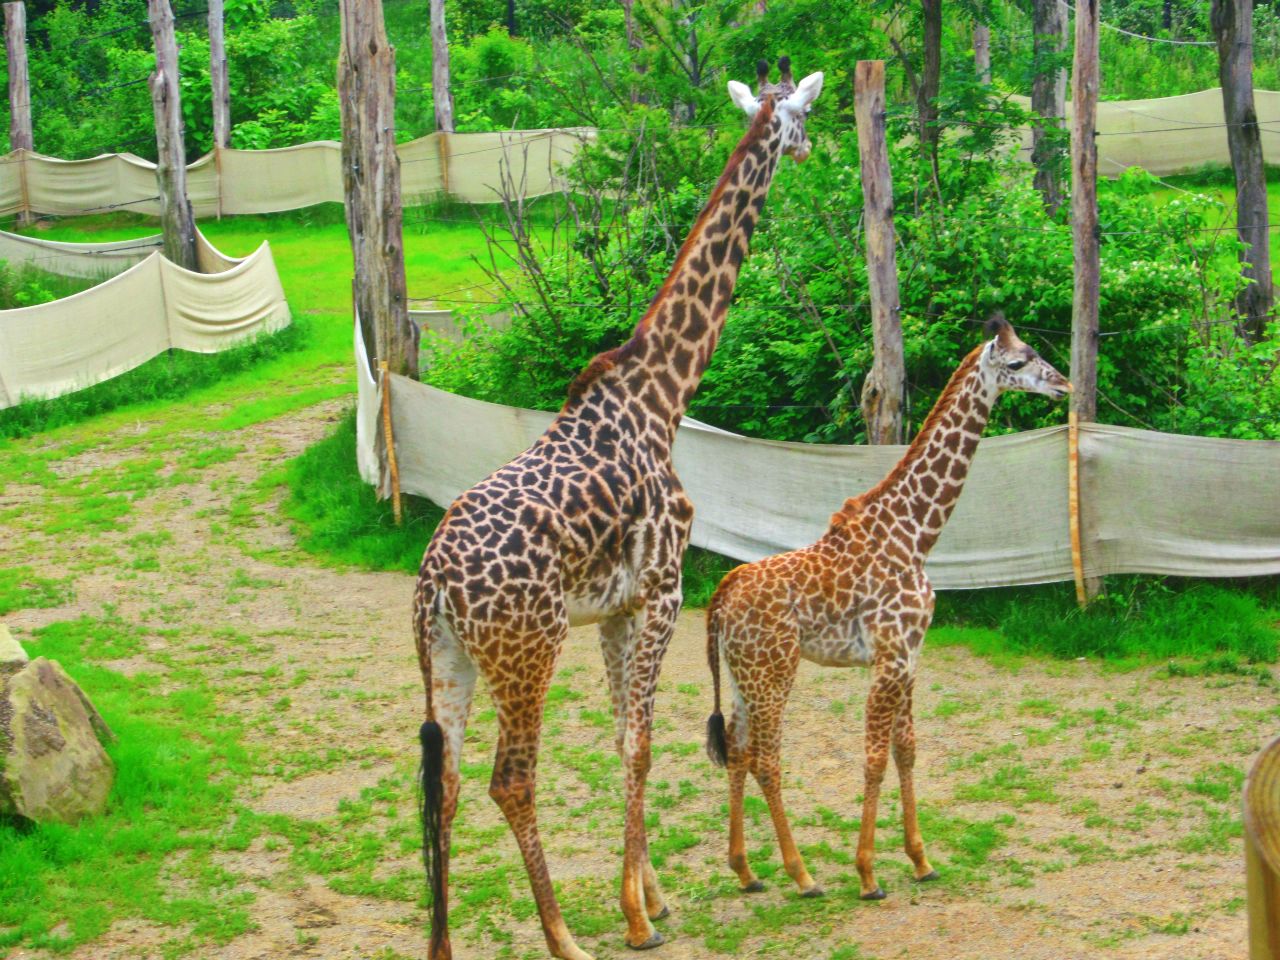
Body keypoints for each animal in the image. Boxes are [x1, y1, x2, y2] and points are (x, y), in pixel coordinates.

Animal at [413, 58, 824, 960]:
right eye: (806, 116)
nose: (813, 151)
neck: (663, 395)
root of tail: (434, 586)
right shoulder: (664, 591)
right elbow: (640, 744)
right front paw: (638, 917)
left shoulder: (614, 609)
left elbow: (621, 741)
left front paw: (652, 895)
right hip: (527, 650)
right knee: (510, 779)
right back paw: (565, 937)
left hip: (449, 659)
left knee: (444, 783)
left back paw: (446, 949)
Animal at [704, 315, 1071, 901]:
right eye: (1018, 362)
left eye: (1038, 353)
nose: (1064, 385)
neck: (916, 534)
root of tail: (721, 595)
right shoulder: (890, 656)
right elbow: (874, 758)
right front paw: (868, 874)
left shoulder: (912, 656)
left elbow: (907, 749)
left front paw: (921, 860)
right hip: (774, 672)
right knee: (767, 758)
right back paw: (802, 875)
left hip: (742, 675)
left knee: (738, 753)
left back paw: (746, 871)